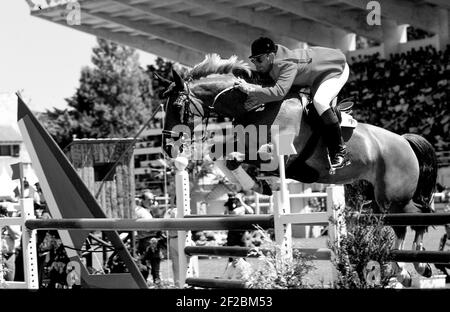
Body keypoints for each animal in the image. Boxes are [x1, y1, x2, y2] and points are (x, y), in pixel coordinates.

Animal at [158, 54, 436, 286]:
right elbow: (223, 154)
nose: (167, 147)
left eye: (177, 107)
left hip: (393, 196)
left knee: (411, 221)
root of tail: (404, 140)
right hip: (380, 197)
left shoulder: (282, 153)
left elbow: (253, 157)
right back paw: (419, 266)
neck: (257, 106)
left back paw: (407, 269)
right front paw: (257, 185)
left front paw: (261, 183)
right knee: (413, 220)